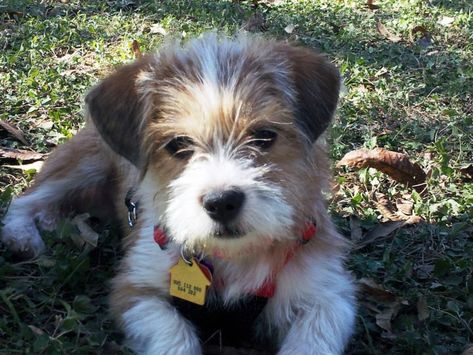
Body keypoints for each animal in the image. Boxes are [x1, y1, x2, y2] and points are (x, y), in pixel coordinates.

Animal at [0, 32, 354, 354]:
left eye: (265, 136)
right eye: (178, 145)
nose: (222, 202)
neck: (232, 256)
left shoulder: (327, 297)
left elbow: (313, 338)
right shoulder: (136, 289)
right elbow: (174, 335)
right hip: (83, 166)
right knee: (27, 199)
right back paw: (23, 236)